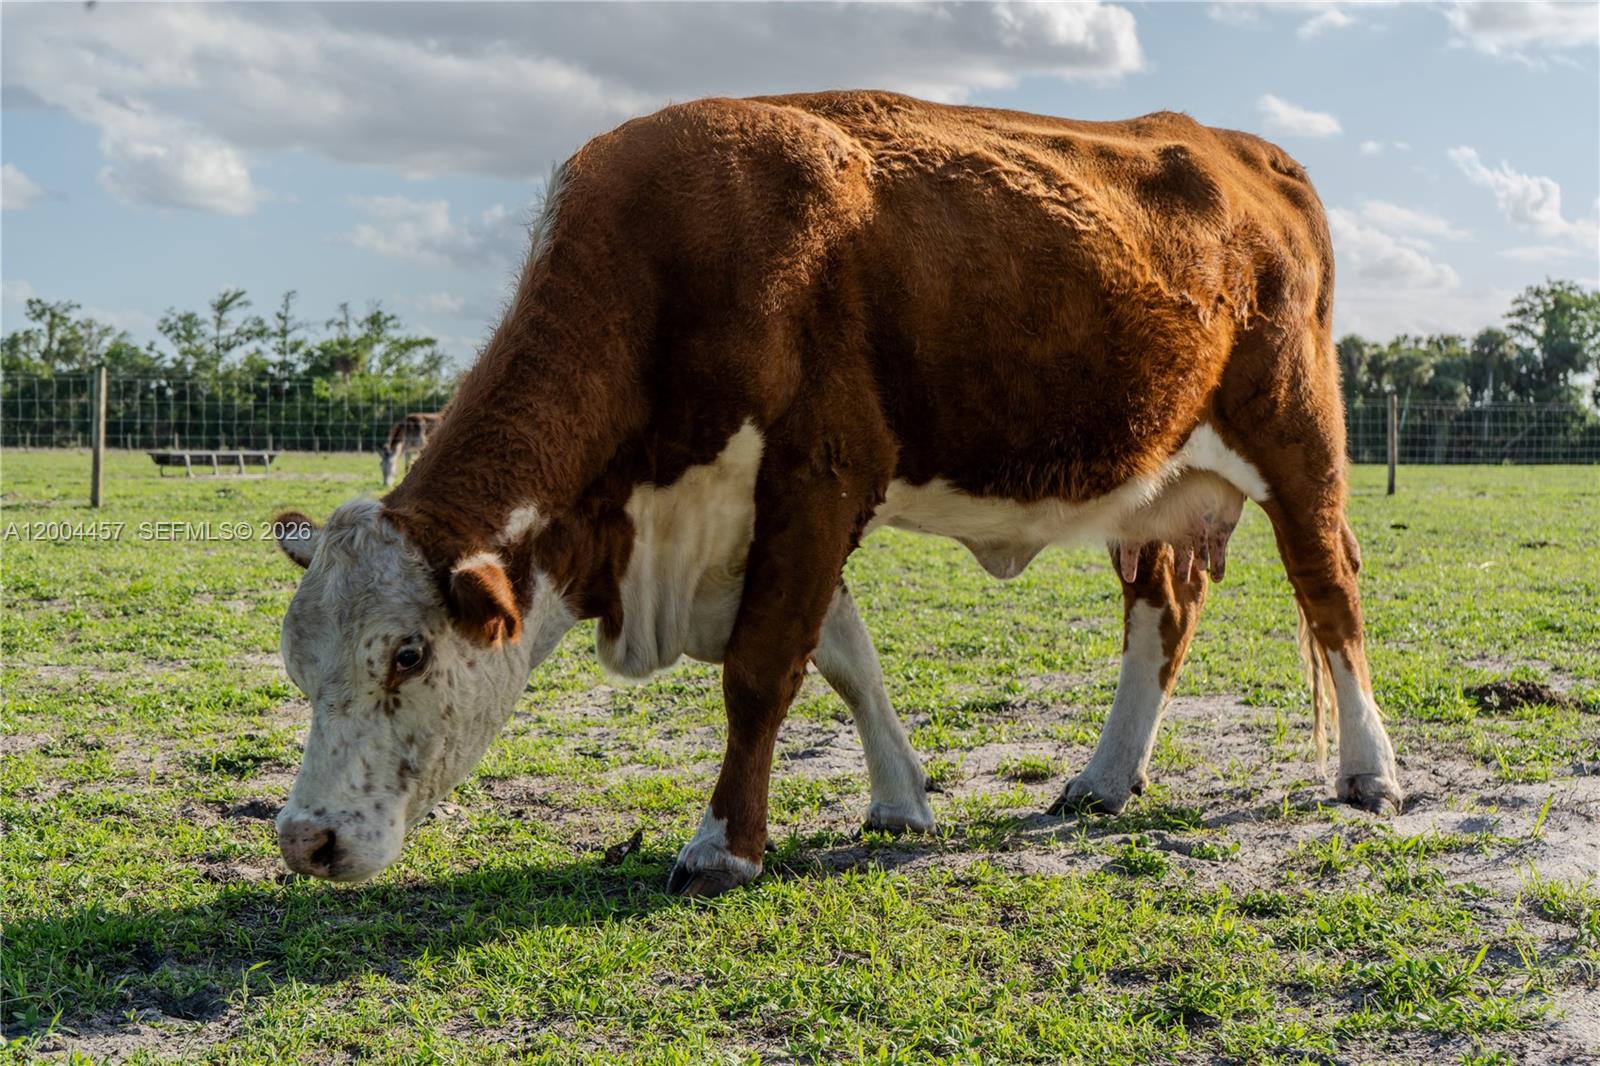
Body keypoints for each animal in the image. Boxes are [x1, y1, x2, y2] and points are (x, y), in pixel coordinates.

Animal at [270, 91, 1401, 896]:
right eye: (300, 662)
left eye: (407, 654)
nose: (304, 840)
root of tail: (1243, 149)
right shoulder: (765, 515)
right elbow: (845, 659)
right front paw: (900, 802)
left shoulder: (816, 475)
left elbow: (762, 670)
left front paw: (723, 845)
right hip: (1151, 479)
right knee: (1161, 609)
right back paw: (1104, 776)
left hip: (1298, 437)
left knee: (1330, 589)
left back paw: (1369, 772)